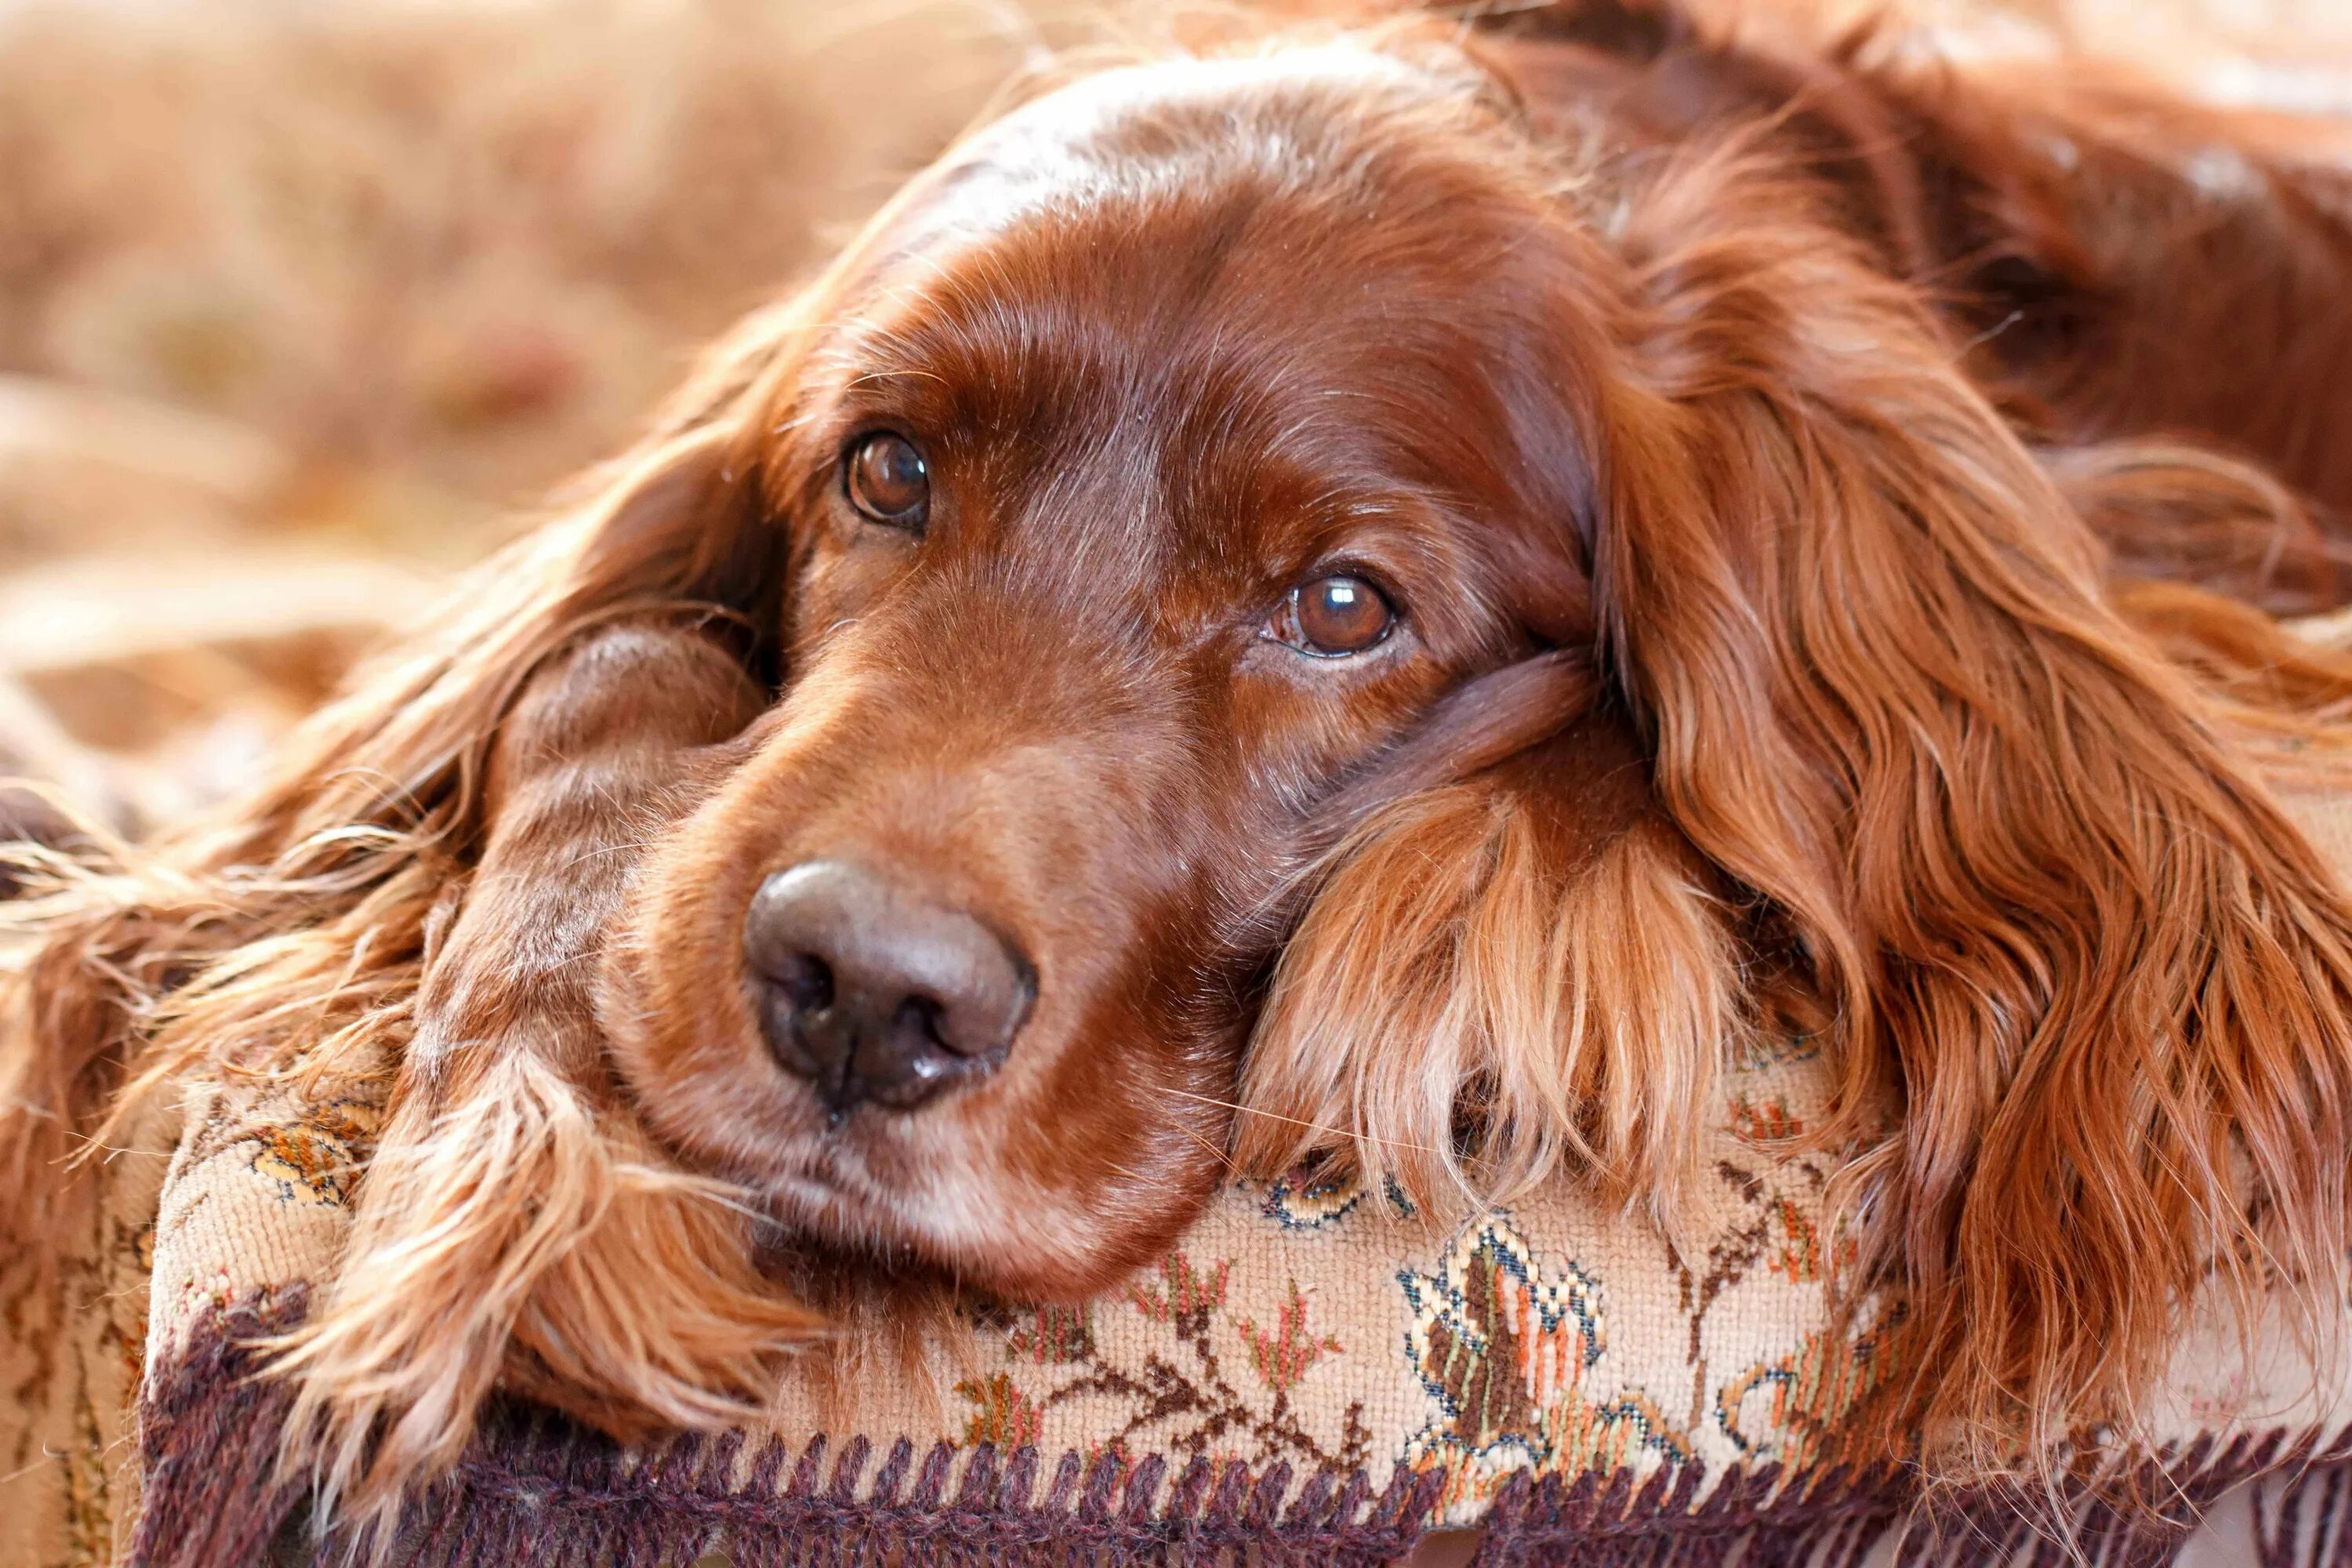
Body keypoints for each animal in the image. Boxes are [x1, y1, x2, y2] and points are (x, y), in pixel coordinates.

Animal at [13, 0, 2352, 1542]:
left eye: (1342, 608)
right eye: (887, 469)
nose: (861, 996)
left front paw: (1495, 908)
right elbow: (591, 663)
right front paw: (531, 1172)